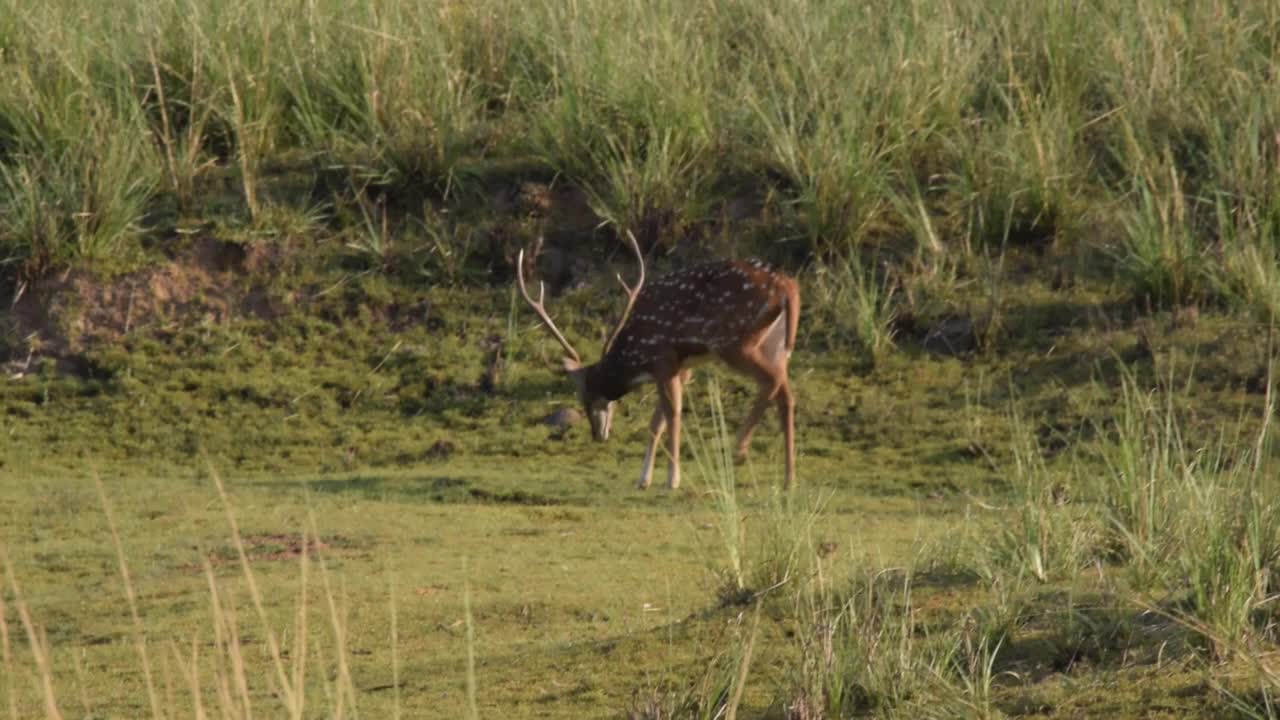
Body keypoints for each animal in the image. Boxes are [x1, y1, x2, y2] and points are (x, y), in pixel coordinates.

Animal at [517, 234, 798, 486]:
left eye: (585, 395)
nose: (598, 435)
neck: (635, 357)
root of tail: (787, 287)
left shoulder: (663, 358)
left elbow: (672, 414)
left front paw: (672, 479)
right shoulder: (681, 368)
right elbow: (656, 422)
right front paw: (644, 479)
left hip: (733, 341)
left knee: (772, 382)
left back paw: (739, 447)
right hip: (775, 344)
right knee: (785, 395)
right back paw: (787, 479)